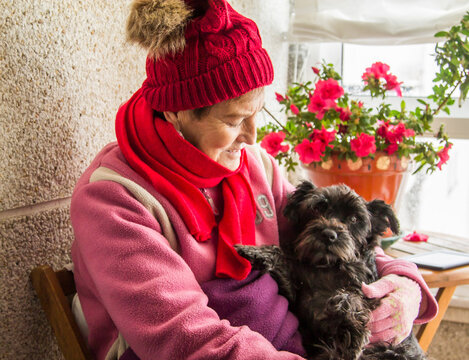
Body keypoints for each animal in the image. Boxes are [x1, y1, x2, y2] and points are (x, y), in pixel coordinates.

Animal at [238, 183, 424, 360]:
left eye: (354, 218)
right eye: (317, 208)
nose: (328, 234)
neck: (327, 267)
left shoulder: (370, 294)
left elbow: (349, 298)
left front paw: (351, 336)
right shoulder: (295, 295)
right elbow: (282, 256)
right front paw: (255, 251)